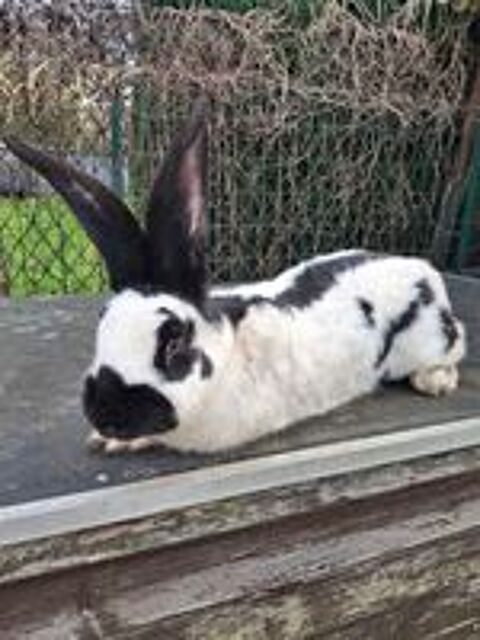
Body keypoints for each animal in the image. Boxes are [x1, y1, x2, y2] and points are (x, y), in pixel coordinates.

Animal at [4, 99, 466, 454]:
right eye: (100, 328)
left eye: (173, 343)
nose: (108, 415)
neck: (227, 355)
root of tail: (424, 271)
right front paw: (109, 440)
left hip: (429, 340)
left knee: (455, 347)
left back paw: (435, 381)